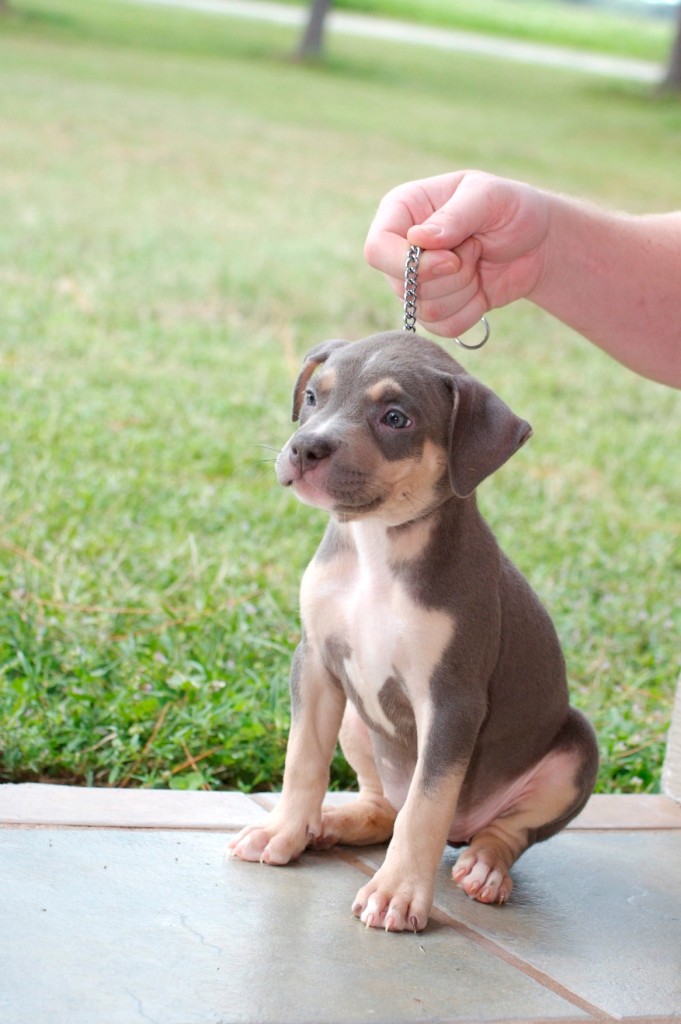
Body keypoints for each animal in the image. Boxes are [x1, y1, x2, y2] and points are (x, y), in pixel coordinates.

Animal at [228, 331, 593, 933]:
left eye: (395, 418)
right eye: (313, 397)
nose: (304, 449)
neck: (377, 547)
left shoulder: (452, 702)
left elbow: (426, 804)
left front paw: (398, 892)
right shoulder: (316, 665)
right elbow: (302, 760)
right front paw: (283, 829)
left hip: (575, 754)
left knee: (503, 830)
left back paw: (486, 867)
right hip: (356, 718)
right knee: (385, 806)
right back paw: (330, 824)